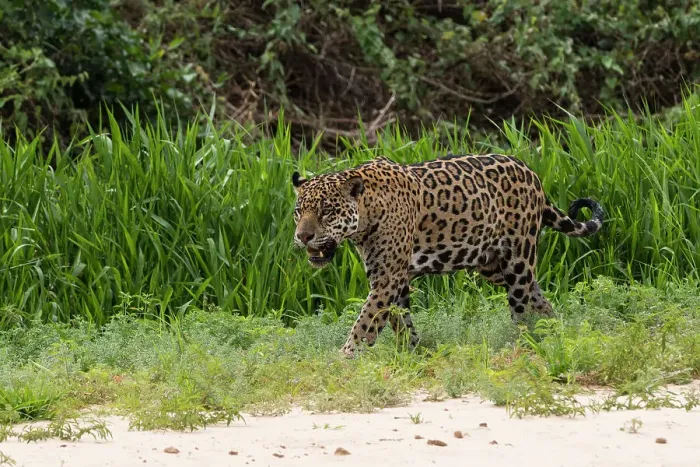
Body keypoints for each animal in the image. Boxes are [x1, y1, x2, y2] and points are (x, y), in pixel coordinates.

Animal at [291, 153, 604, 358]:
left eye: (327, 211)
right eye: (298, 211)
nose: (302, 236)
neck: (367, 213)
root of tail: (532, 173)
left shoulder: (387, 279)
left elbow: (365, 321)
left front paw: (344, 359)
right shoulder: (396, 280)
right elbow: (399, 321)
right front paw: (412, 354)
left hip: (517, 261)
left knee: (521, 311)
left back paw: (524, 347)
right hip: (495, 266)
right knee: (539, 299)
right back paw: (556, 333)